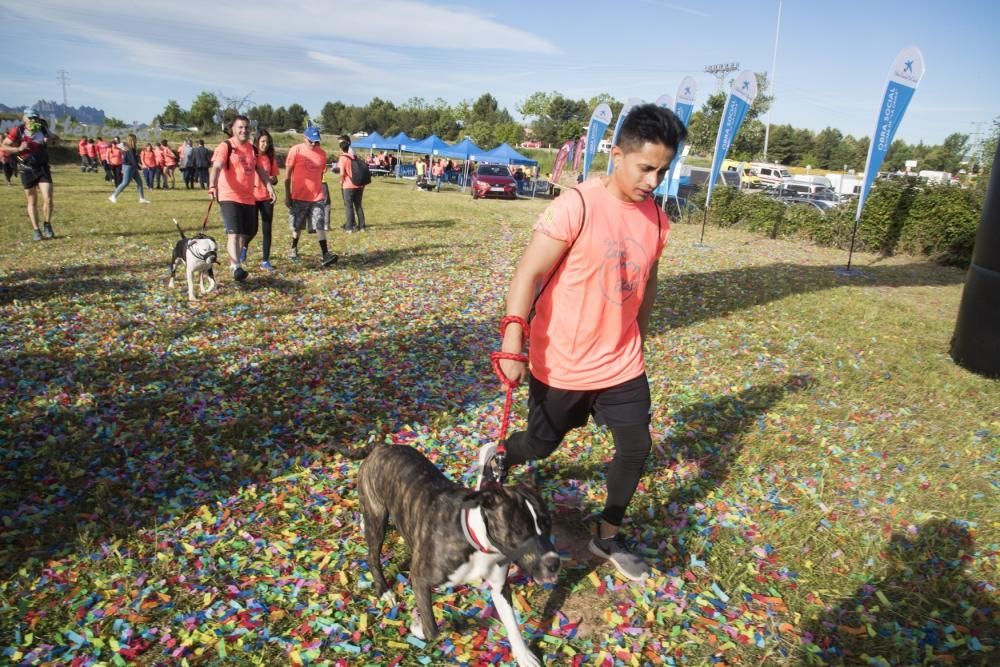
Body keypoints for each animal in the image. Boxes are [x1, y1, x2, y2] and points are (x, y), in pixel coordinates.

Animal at [332, 444, 560, 667]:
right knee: (372, 555)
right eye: (520, 532)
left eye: (549, 523)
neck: (476, 539)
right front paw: (417, 626)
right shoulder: (421, 580)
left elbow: (512, 624)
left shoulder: (499, 587)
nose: (554, 563)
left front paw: (524, 655)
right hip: (377, 518)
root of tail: (380, 445)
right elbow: (432, 630)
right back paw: (383, 589)